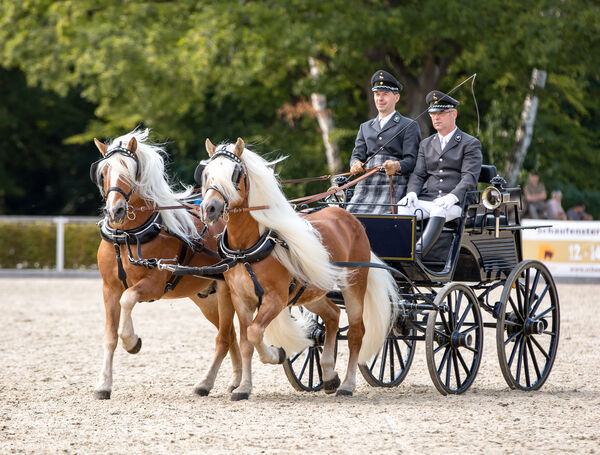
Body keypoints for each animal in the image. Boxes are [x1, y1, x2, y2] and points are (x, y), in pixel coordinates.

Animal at [90, 127, 240, 400]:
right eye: (103, 173)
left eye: (130, 172)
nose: (116, 211)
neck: (128, 236)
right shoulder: (109, 288)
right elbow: (109, 337)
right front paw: (103, 385)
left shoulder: (155, 283)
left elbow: (128, 299)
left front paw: (132, 342)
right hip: (207, 298)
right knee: (231, 335)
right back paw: (235, 381)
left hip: (228, 293)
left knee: (225, 337)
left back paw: (206, 383)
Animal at [197, 139, 400, 400]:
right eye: (207, 174)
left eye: (235, 174)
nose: (209, 209)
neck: (247, 247)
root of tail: (348, 216)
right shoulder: (241, 300)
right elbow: (245, 343)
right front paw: (243, 387)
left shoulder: (275, 299)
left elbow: (254, 333)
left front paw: (276, 354)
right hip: (312, 292)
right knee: (332, 316)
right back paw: (329, 375)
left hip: (354, 286)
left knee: (356, 333)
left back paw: (347, 384)